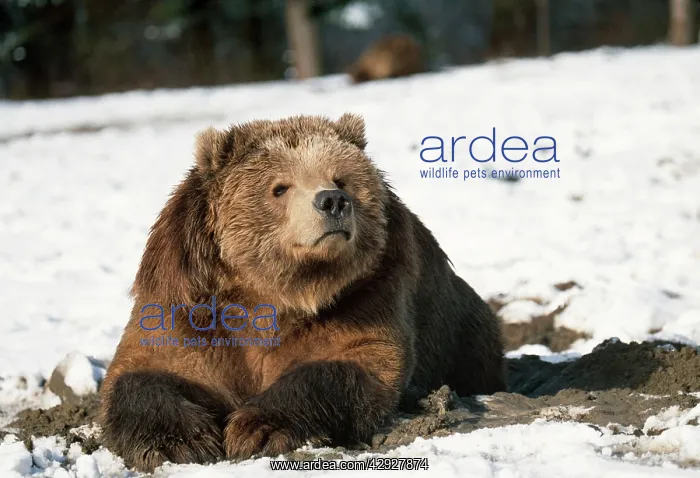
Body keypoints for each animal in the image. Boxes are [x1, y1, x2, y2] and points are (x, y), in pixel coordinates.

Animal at [98, 113, 506, 472]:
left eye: (340, 178)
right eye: (280, 187)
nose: (333, 201)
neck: (275, 290)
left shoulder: (366, 295)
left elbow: (348, 363)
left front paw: (257, 429)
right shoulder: (187, 306)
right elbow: (147, 371)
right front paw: (181, 442)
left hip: (464, 336)